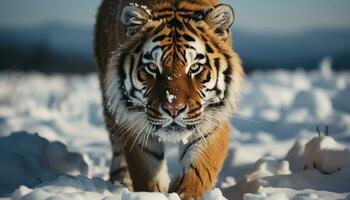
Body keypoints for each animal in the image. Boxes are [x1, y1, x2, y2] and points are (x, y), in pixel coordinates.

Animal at [94, 0, 245, 198]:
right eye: (152, 67)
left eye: (195, 67)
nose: (174, 109)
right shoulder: (135, 123)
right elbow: (148, 174)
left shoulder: (212, 123)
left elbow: (195, 174)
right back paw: (120, 181)